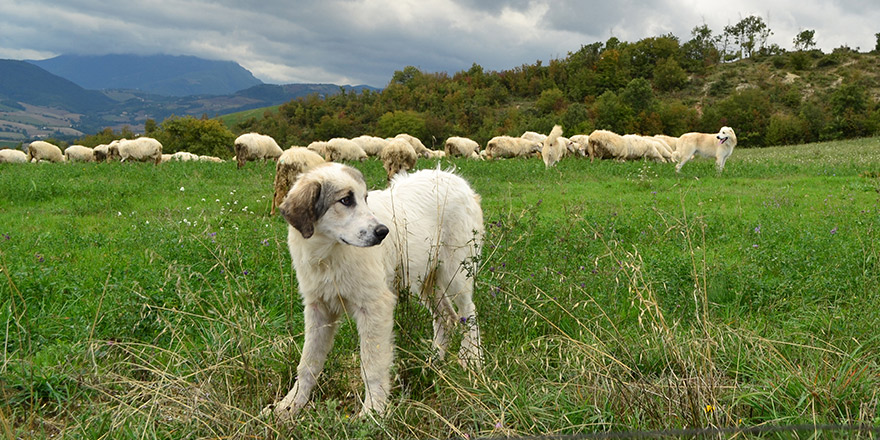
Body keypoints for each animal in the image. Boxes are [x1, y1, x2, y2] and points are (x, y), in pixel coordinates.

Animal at [270, 163, 488, 422]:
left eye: (365, 198)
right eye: (346, 200)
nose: (383, 232)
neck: (328, 253)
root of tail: (454, 177)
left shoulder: (375, 306)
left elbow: (372, 365)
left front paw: (373, 412)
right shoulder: (318, 309)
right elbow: (308, 363)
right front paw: (290, 405)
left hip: (455, 273)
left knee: (469, 312)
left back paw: (471, 359)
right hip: (425, 281)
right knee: (447, 317)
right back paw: (432, 362)